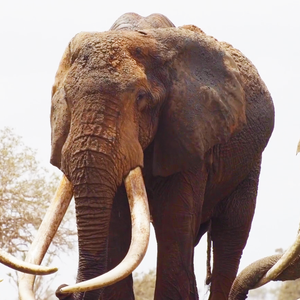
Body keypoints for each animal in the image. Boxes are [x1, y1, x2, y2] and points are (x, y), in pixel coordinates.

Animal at [17, 12, 274, 300]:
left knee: (230, 235)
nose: (62, 289)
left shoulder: (190, 131)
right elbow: (118, 228)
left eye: (141, 98)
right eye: (67, 99)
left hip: (249, 162)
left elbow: (174, 222)